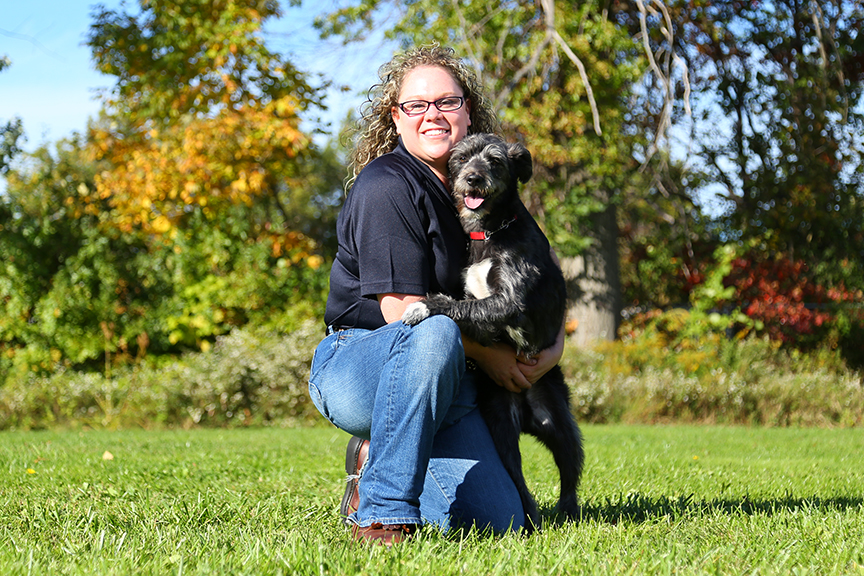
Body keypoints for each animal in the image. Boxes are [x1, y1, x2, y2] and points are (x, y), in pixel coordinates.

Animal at [402, 132, 584, 532]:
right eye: (461, 158)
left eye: (496, 161)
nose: (472, 178)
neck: (489, 231)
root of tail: (528, 411)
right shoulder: (483, 299)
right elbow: (470, 309)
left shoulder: (511, 299)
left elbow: (466, 308)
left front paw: (425, 306)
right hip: (501, 428)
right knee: (517, 480)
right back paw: (530, 519)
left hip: (561, 427)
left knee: (569, 472)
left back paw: (567, 512)